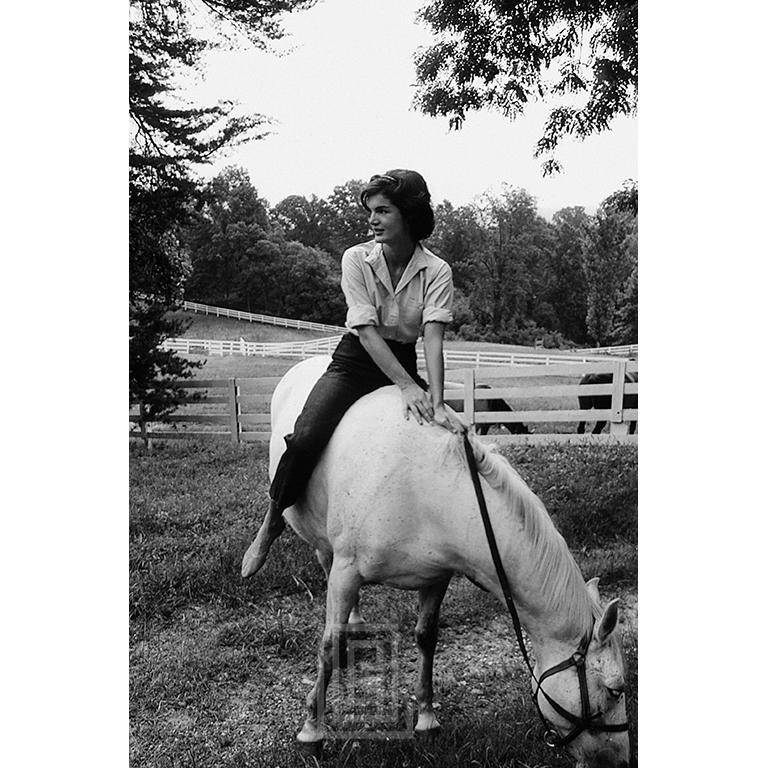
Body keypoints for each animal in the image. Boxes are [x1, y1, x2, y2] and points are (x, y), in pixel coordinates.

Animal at [244, 356, 632, 764]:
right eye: (616, 689)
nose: (621, 761)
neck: (427, 488)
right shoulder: (348, 570)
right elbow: (330, 645)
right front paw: (312, 730)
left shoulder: (435, 577)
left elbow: (426, 638)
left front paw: (427, 719)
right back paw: (257, 555)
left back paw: (357, 621)